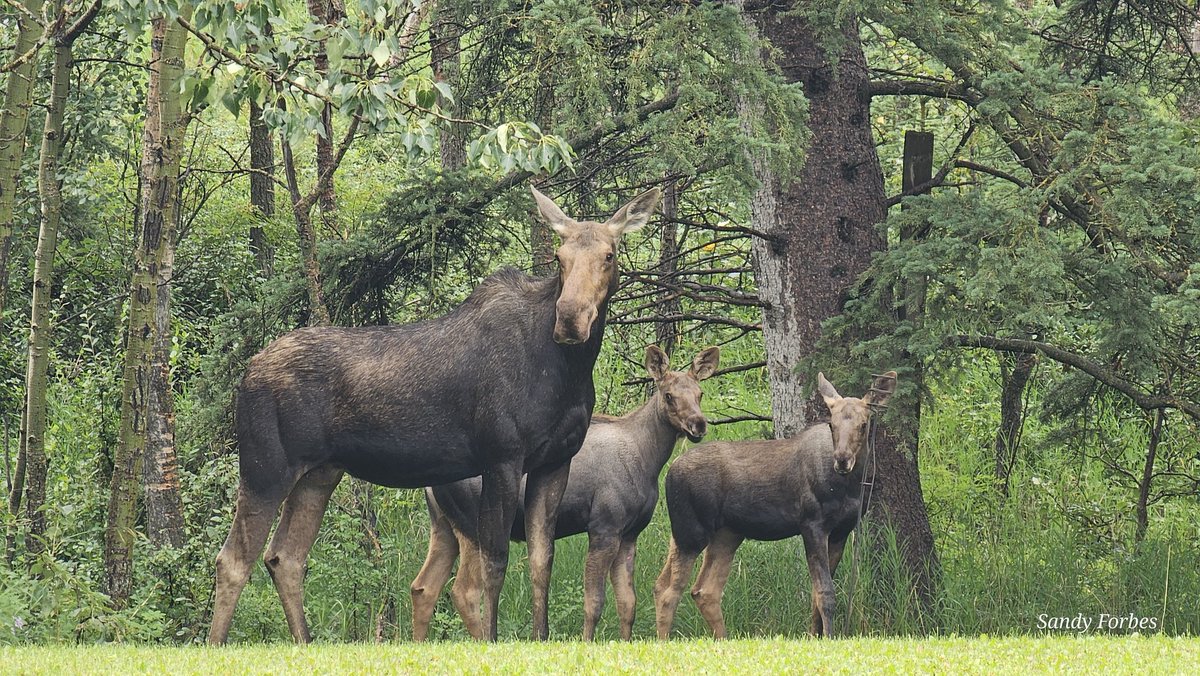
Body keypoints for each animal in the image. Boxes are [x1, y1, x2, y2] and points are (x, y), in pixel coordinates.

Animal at [207, 185, 661, 644]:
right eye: (559, 255)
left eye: (609, 254)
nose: (570, 318)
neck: (567, 371)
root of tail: (246, 374)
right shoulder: (501, 455)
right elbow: (495, 563)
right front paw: (493, 640)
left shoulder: (555, 460)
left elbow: (541, 560)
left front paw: (540, 638)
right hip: (266, 467)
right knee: (233, 559)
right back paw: (216, 644)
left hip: (319, 475)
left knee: (285, 556)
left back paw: (303, 642)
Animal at [411, 344, 720, 641]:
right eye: (668, 395)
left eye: (700, 393)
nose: (698, 424)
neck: (648, 459)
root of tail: (430, 484)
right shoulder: (604, 527)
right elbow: (594, 602)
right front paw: (586, 641)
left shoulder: (630, 533)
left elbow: (628, 604)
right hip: (472, 526)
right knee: (464, 591)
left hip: (444, 527)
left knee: (423, 587)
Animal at [653, 371, 897, 639]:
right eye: (832, 424)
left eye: (864, 424)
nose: (842, 459)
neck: (849, 486)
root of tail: (669, 473)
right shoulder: (812, 524)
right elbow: (825, 594)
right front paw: (828, 638)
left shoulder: (841, 531)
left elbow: (816, 596)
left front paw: (816, 637)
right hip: (691, 531)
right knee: (669, 591)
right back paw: (664, 641)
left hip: (725, 534)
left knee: (700, 590)